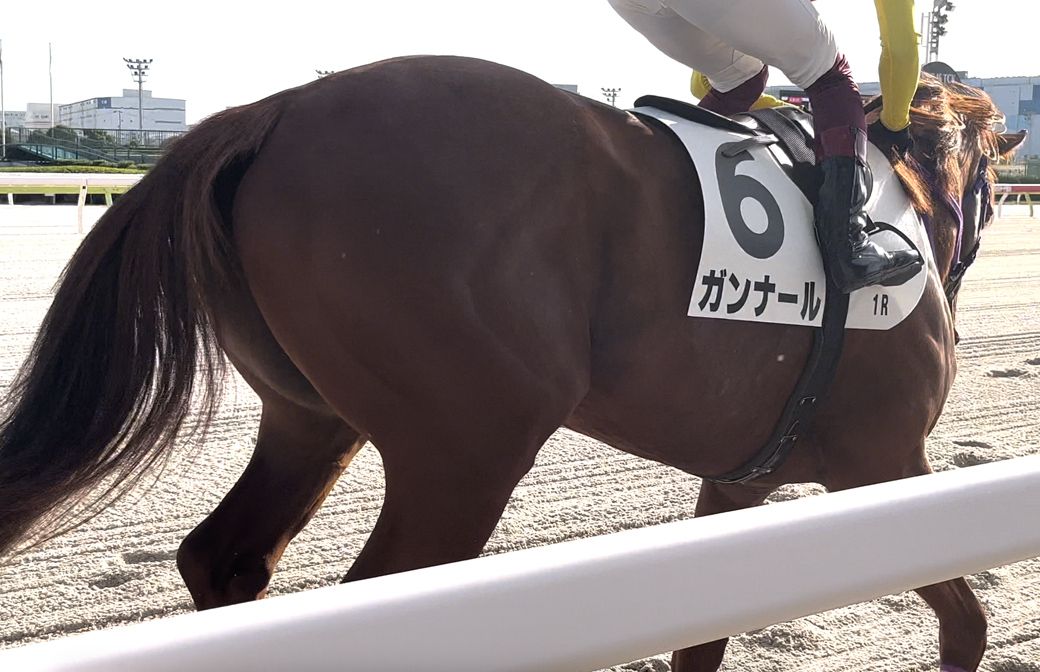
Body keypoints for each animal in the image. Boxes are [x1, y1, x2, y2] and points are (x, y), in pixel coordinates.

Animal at [0, 56, 1024, 670]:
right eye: (986, 183)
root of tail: (273, 110)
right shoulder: (883, 464)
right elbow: (967, 620)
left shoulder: (739, 482)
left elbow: (702, 640)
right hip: (466, 450)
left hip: (310, 419)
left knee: (227, 557)